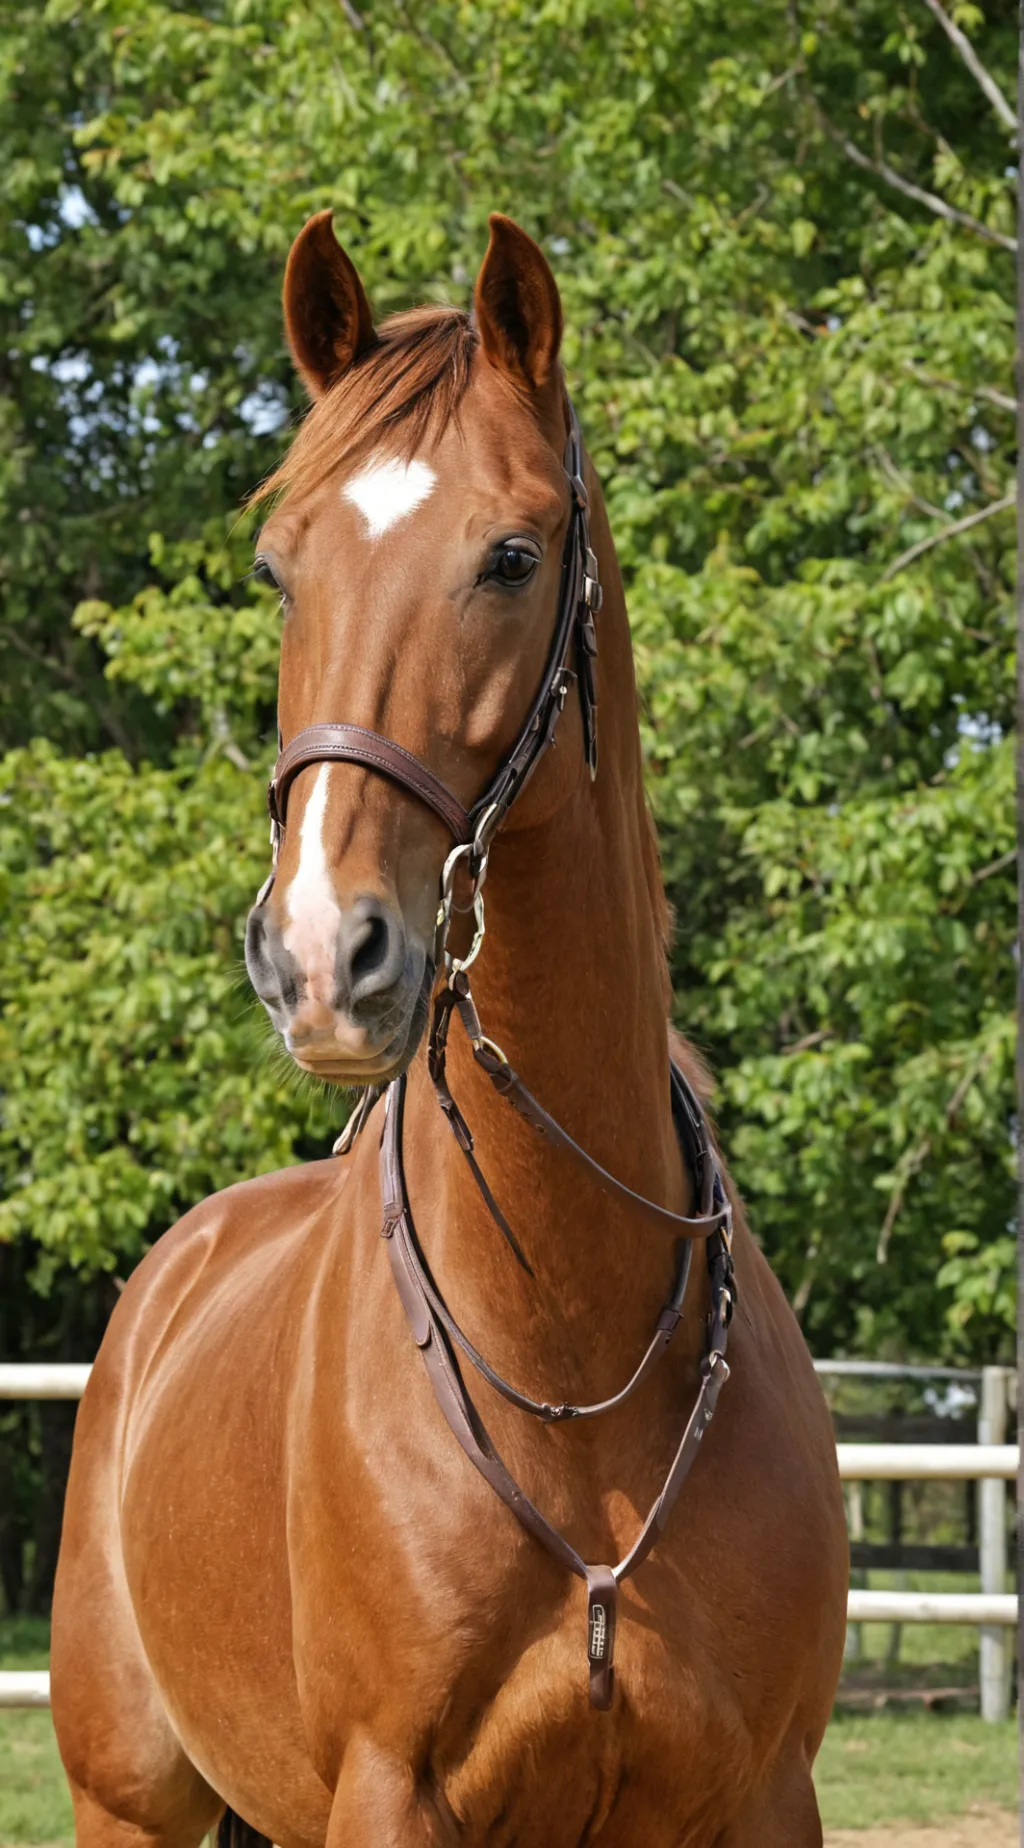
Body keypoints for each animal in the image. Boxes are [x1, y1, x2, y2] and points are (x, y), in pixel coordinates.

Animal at [51, 211, 848, 1848]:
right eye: (278, 569)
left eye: (512, 556)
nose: (317, 955)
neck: (573, 1336)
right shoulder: (389, 1794)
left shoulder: (763, 1798)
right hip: (127, 1803)